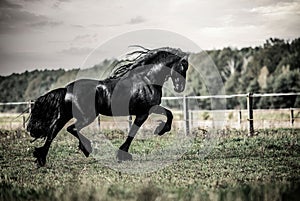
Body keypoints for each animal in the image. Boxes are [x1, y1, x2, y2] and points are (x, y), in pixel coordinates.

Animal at [27, 46, 189, 166]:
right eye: (183, 67)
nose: (180, 88)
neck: (146, 80)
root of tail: (67, 89)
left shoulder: (150, 108)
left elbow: (168, 113)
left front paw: (161, 130)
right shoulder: (143, 112)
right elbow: (133, 132)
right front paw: (123, 154)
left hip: (67, 115)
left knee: (54, 131)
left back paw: (41, 158)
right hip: (88, 116)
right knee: (71, 128)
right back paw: (86, 148)